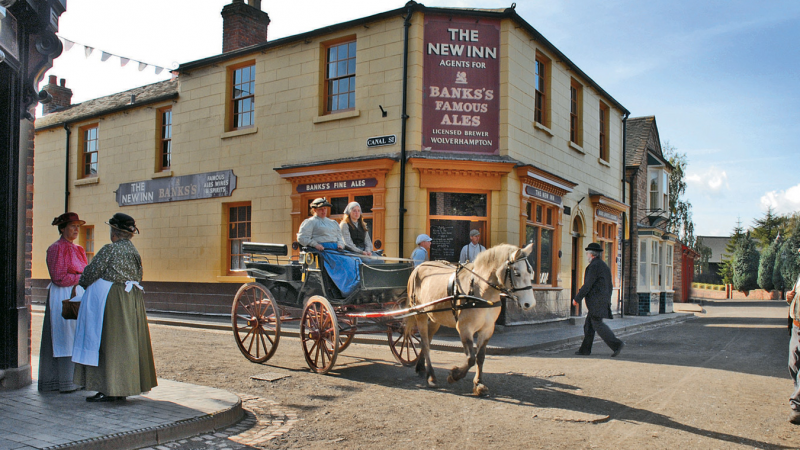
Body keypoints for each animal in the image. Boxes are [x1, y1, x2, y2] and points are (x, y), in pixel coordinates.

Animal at [410, 244, 536, 396]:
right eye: (517, 273)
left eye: (531, 272)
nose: (530, 304)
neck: (480, 290)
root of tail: (419, 266)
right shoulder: (464, 328)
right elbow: (470, 358)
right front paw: (455, 375)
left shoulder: (487, 329)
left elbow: (480, 357)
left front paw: (479, 383)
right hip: (420, 314)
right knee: (425, 344)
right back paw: (431, 376)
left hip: (434, 318)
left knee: (427, 341)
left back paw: (421, 367)